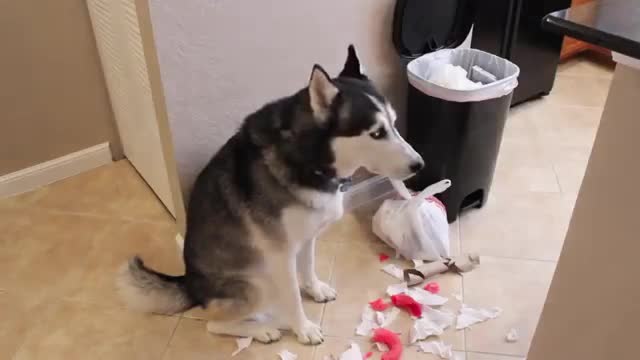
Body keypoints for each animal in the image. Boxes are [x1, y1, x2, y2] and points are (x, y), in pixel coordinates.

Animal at [119, 46, 424, 344]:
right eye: (377, 133)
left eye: (394, 124)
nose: (419, 165)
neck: (307, 160)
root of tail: (189, 284)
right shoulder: (281, 254)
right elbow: (293, 297)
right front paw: (303, 328)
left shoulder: (308, 235)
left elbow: (308, 266)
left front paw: (314, 289)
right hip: (259, 282)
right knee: (213, 325)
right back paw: (261, 330)